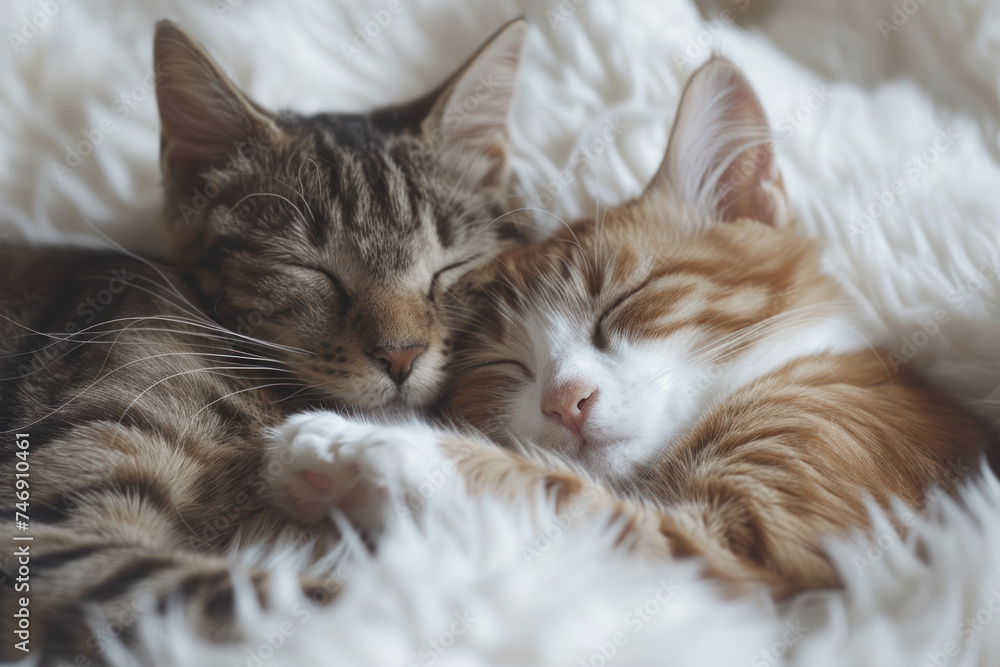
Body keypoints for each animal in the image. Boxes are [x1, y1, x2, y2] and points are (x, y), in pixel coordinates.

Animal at [268, 57, 992, 600]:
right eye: (506, 367)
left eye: (621, 305)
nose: (566, 400)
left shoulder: (753, 559)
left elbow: (551, 490)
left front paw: (357, 448)